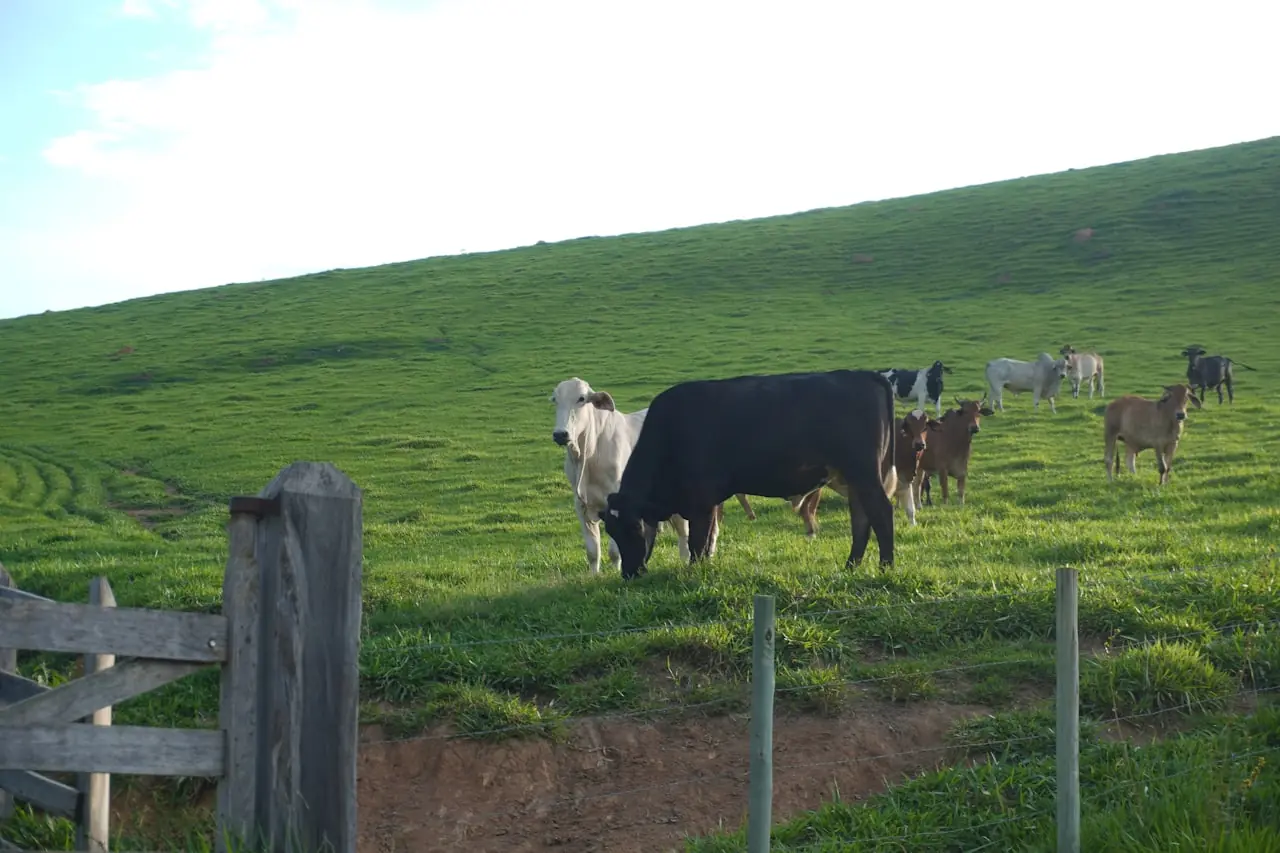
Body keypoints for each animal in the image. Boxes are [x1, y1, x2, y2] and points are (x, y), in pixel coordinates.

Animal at [550, 377, 690, 574]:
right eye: (555, 400)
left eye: (581, 398)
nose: (560, 434)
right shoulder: (581, 505)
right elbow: (592, 552)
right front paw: (594, 576)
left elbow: (615, 551)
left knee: (683, 530)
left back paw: (685, 560)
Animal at [599, 370, 898, 580]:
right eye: (611, 531)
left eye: (633, 527)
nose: (630, 573)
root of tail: (860, 374)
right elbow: (708, 539)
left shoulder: (701, 501)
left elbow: (698, 541)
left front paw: (694, 573)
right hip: (853, 477)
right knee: (861, 518)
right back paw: (850, 567)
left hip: (864, 472)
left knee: (881, 512)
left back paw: (886, 567)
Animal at [789, 409, 937, 536]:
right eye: (909, 426)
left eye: (925, 426)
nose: (920, 444)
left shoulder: (905, 481)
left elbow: (911, 510)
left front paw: (913, 525)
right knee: (806, 509)